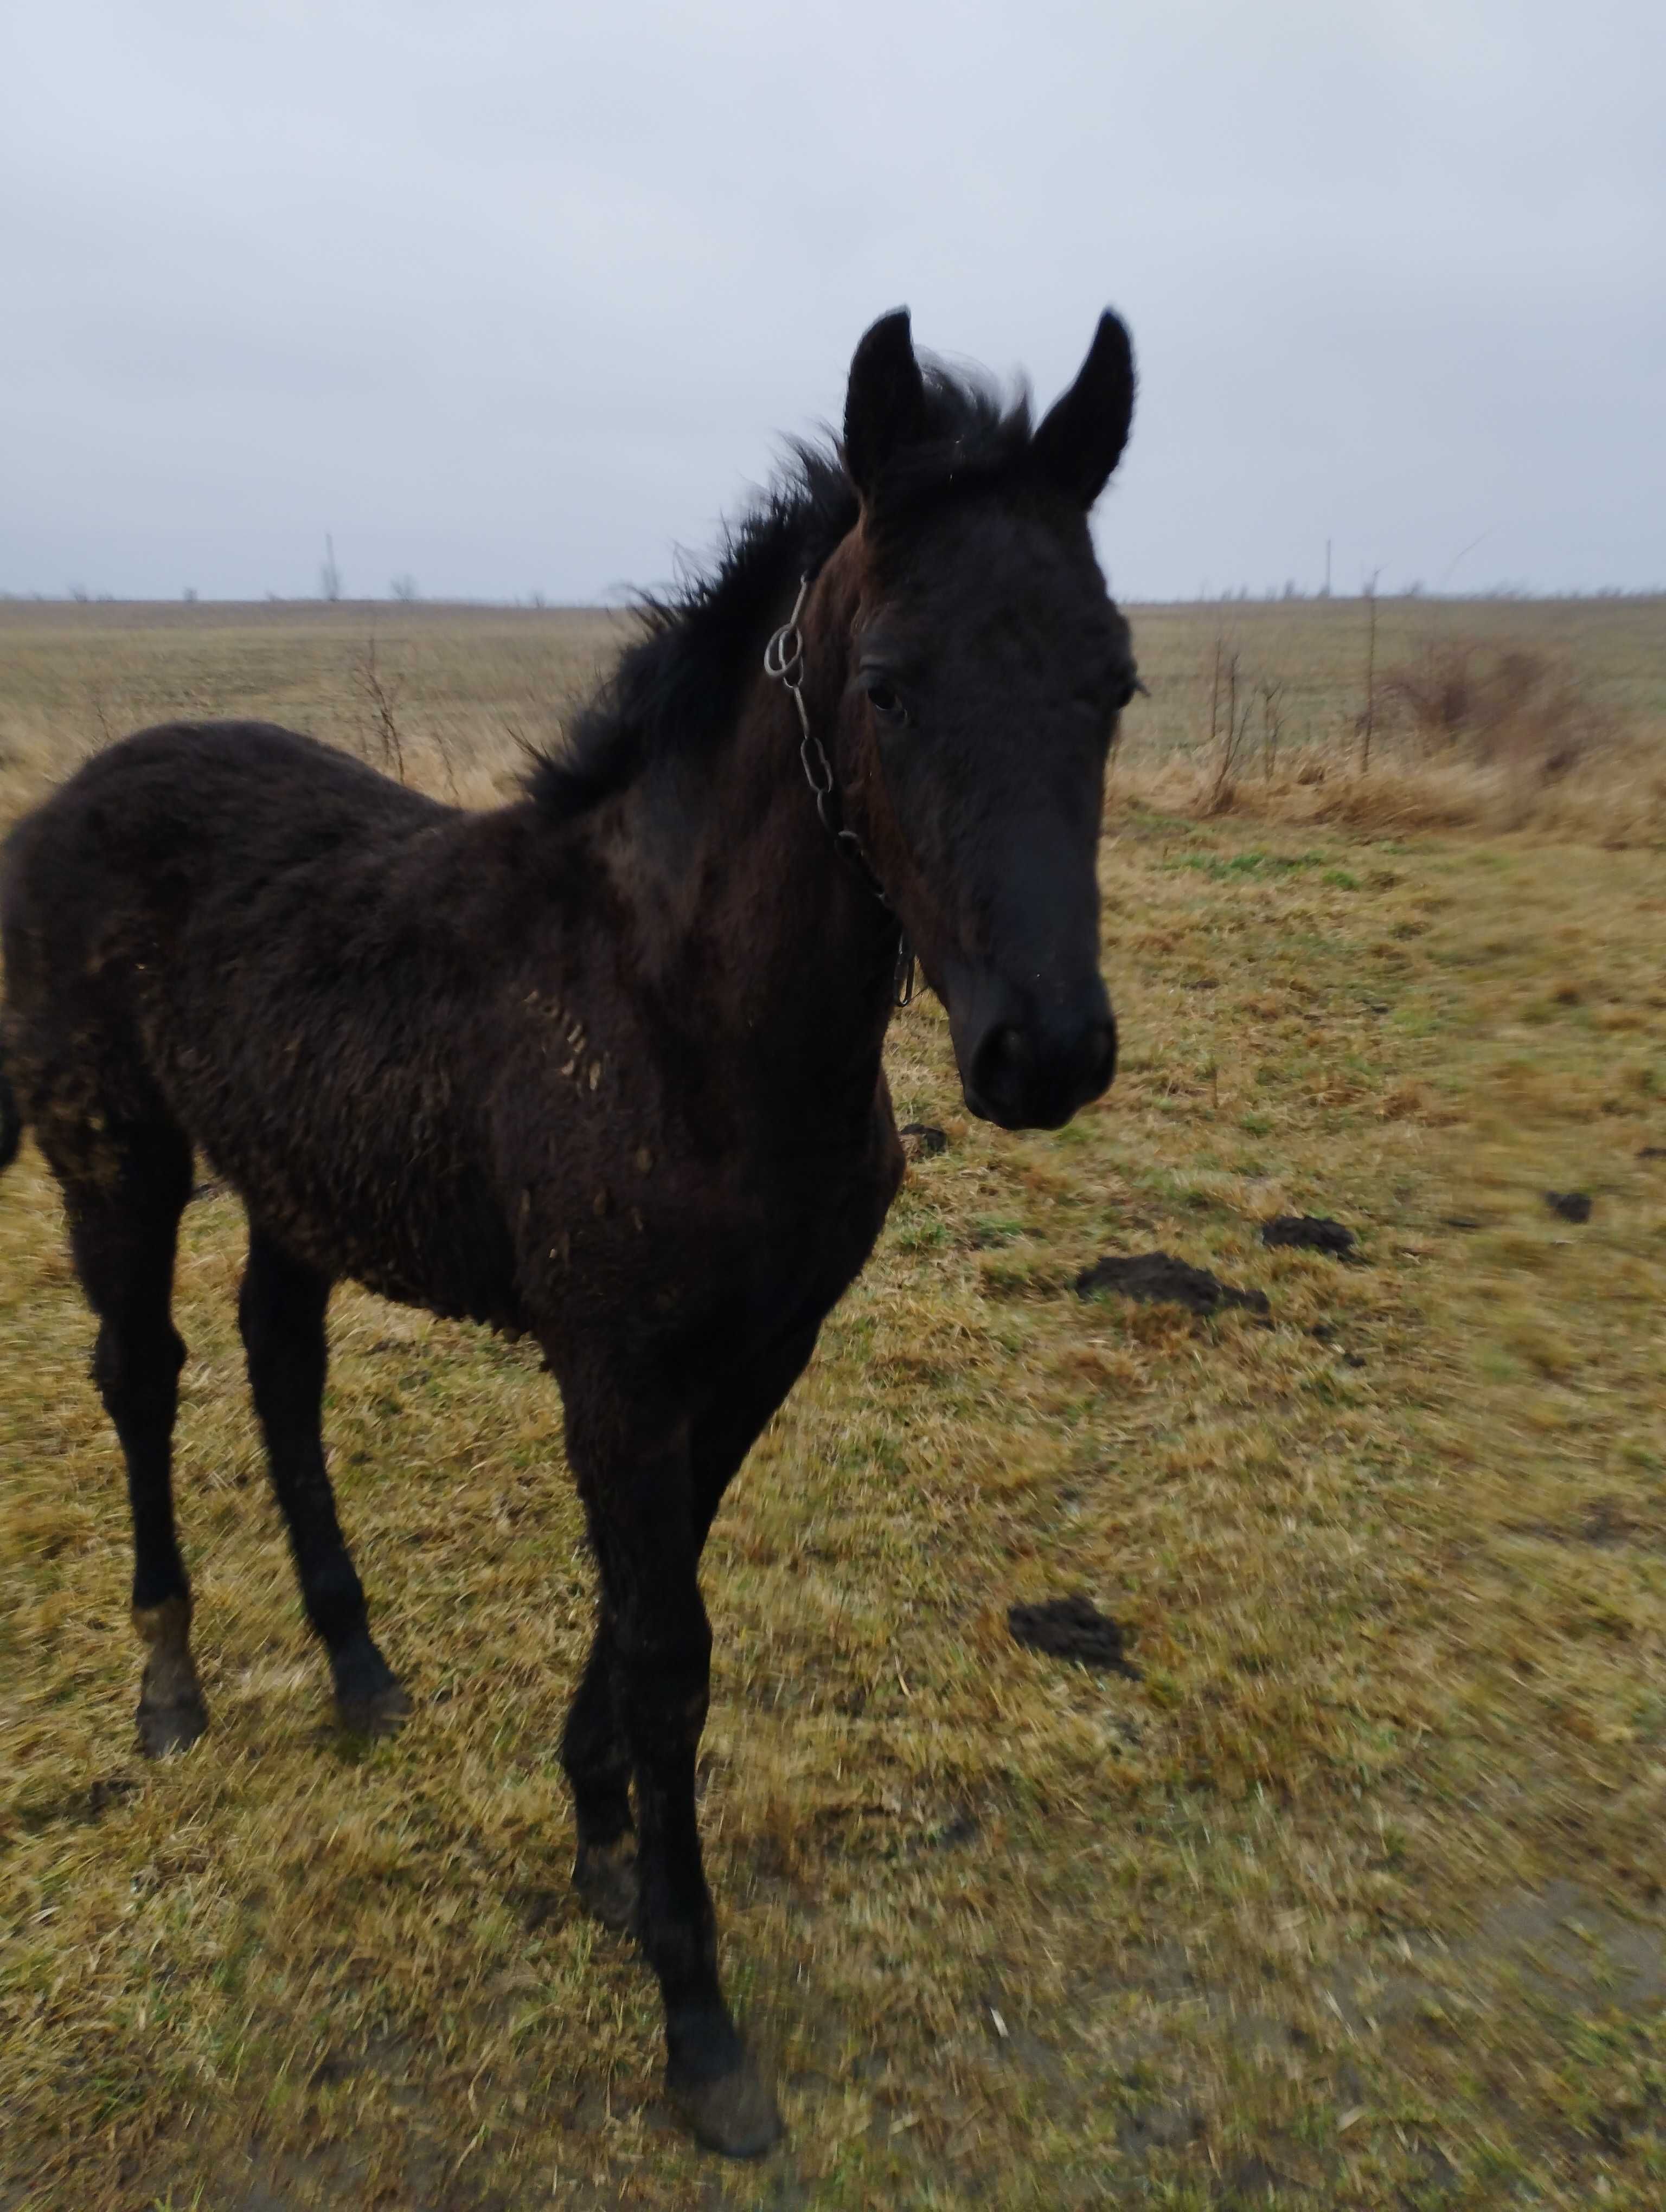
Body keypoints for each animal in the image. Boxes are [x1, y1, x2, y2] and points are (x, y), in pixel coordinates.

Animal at [0, 303, 1142, 2150]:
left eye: (1114, 682)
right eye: (886, 685)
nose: (1043, 1055)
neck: (687, 1014)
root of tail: (63, 796)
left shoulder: (754, 1355)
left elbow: (647, 1598)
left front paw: (599, 1834)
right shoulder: (611, 1372)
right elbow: (670, 1642)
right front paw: (697, 2020)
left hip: (298, 1180)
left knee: (279, 1368)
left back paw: (360, 1668)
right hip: (113, 1153)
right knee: (142, 1375)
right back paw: (169, 1686)